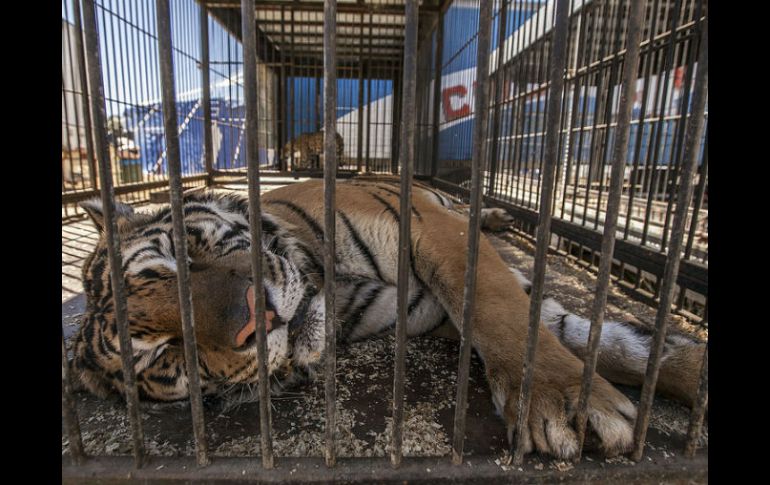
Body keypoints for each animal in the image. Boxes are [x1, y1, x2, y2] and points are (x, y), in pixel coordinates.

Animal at [69, 174, 704, 458]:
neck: (333, 282)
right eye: (166, 355)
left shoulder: (431, 228)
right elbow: (602, 338)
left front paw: (564, 398)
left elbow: (505, 309)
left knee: (472, 209)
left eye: (183, 255)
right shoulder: (428, 313)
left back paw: (498, 214)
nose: (259, 319)